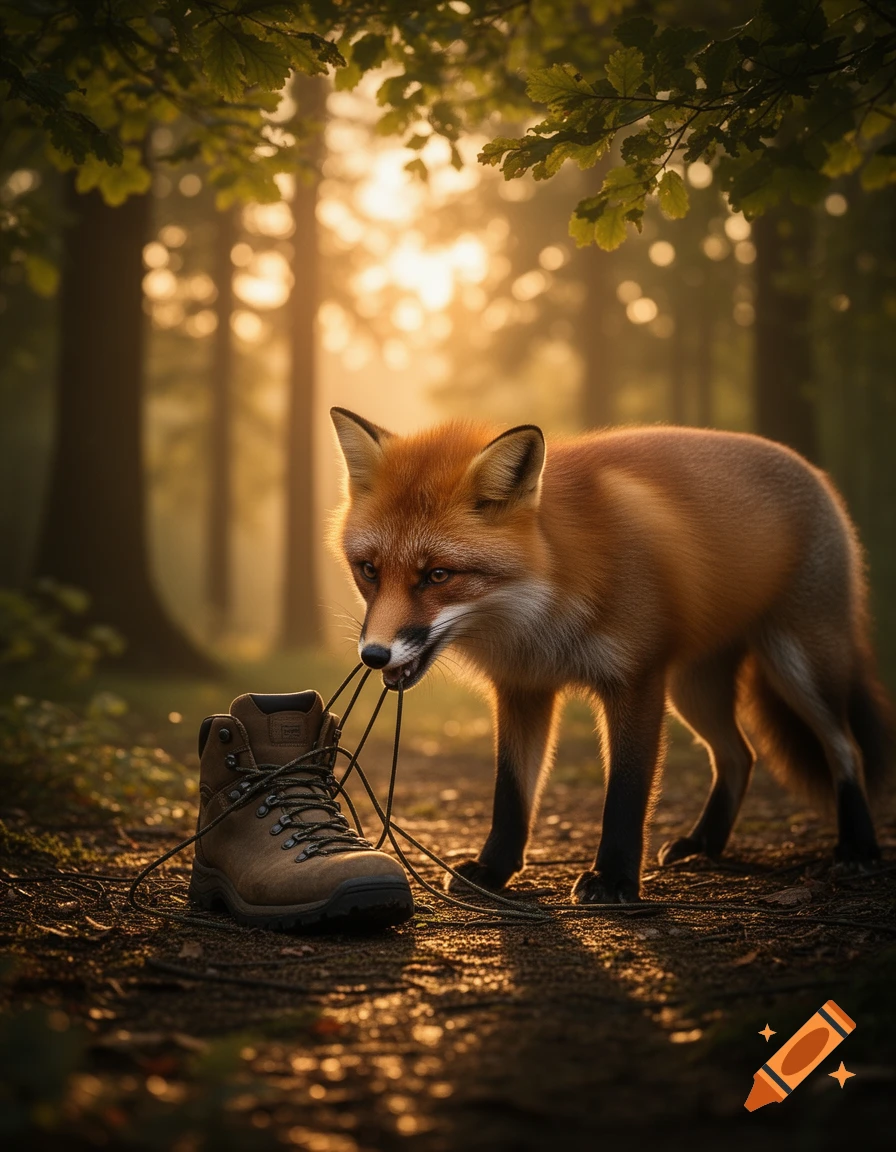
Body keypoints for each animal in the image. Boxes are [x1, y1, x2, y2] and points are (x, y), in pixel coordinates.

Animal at [329, 407, 893, 904]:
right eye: (369, 570)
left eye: (438, 575)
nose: (374, 654)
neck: (544, 608)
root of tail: (809, 468)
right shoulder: (523, 687)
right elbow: (511, 793)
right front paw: (493, 870)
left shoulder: (636, 679)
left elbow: (626, 790)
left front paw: (615, 878)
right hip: (694, 689)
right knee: (738, 755)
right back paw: (704, 844)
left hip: (800, 666)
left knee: (845, 748)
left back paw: (858, 848)